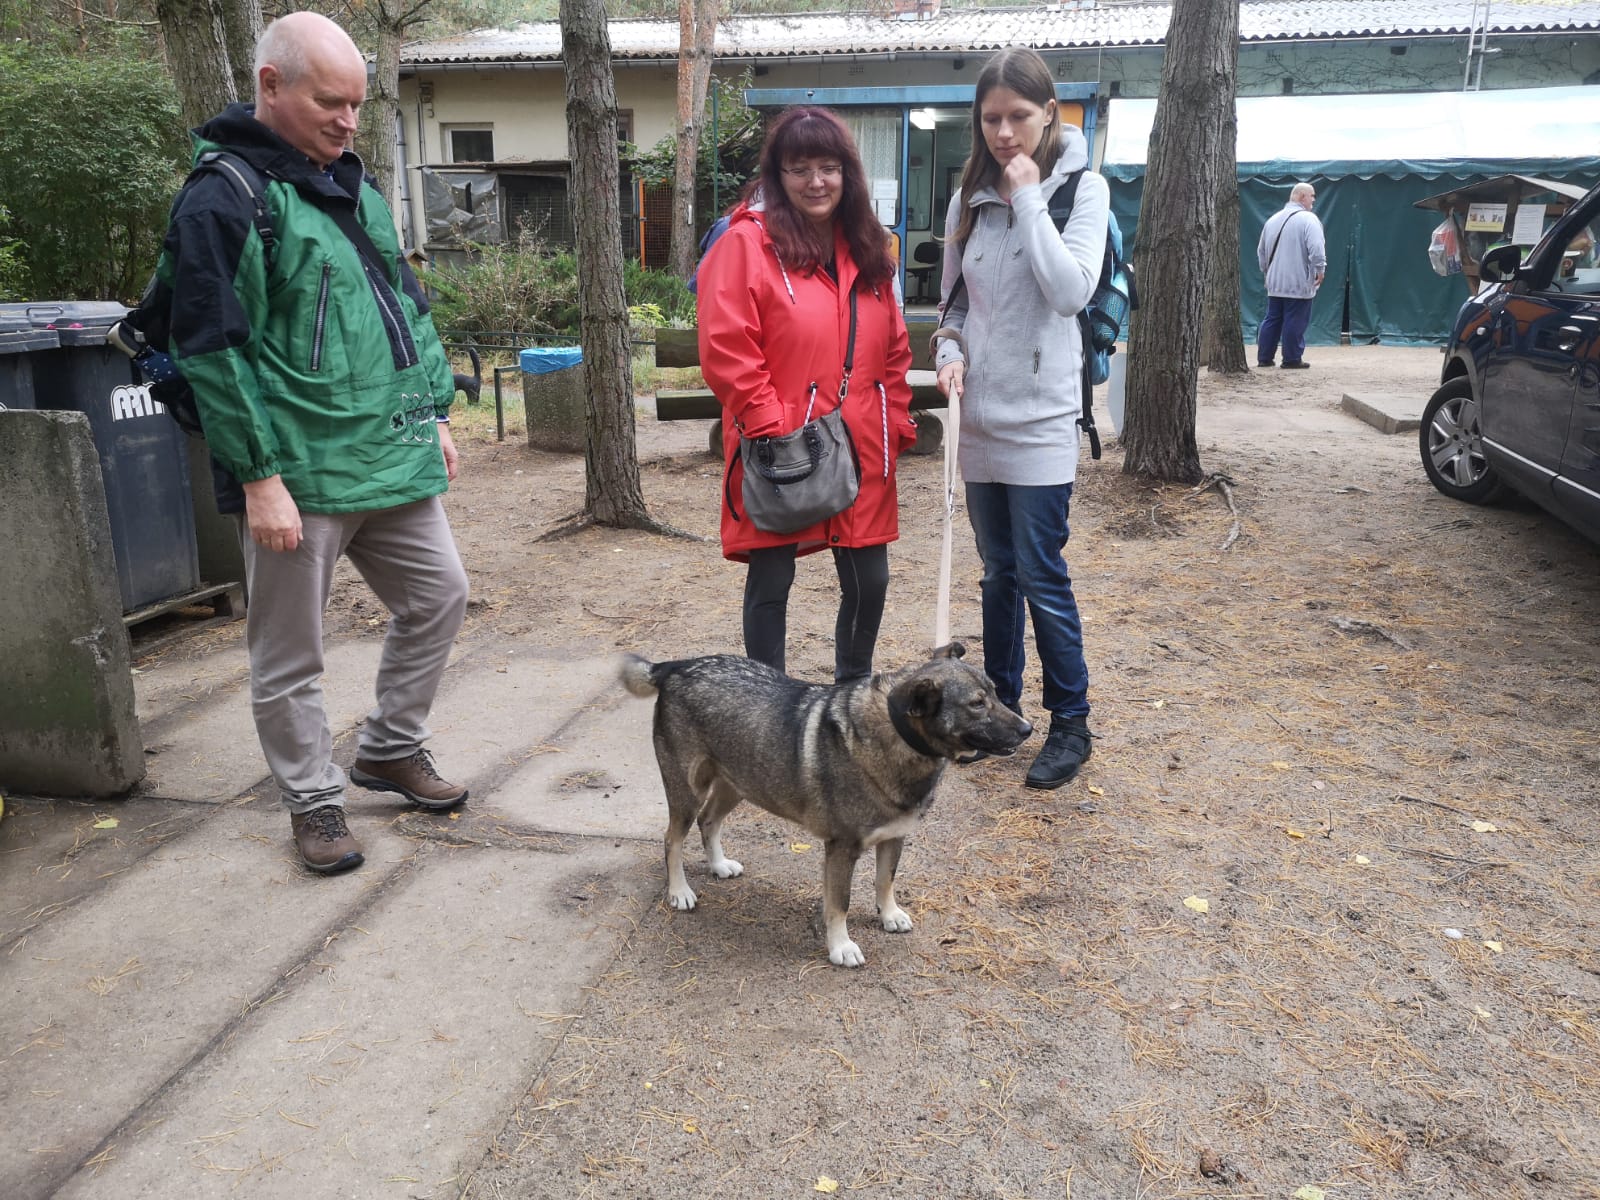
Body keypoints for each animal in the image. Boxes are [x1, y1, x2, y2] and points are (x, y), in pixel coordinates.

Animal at [620, 643, 1032, 967]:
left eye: (996, 694)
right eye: (977, 704)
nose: (1027, 729)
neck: (896, 737)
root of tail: (675, 666)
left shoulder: (893, 838)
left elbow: (885, 881)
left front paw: (889, 914)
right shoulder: (841, 850)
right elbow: (840, 904)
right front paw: (841, 947)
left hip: (739, 784)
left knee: (709, 822)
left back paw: (719, 865)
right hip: (688, 792)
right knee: (672, 840)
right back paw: (679, 892)